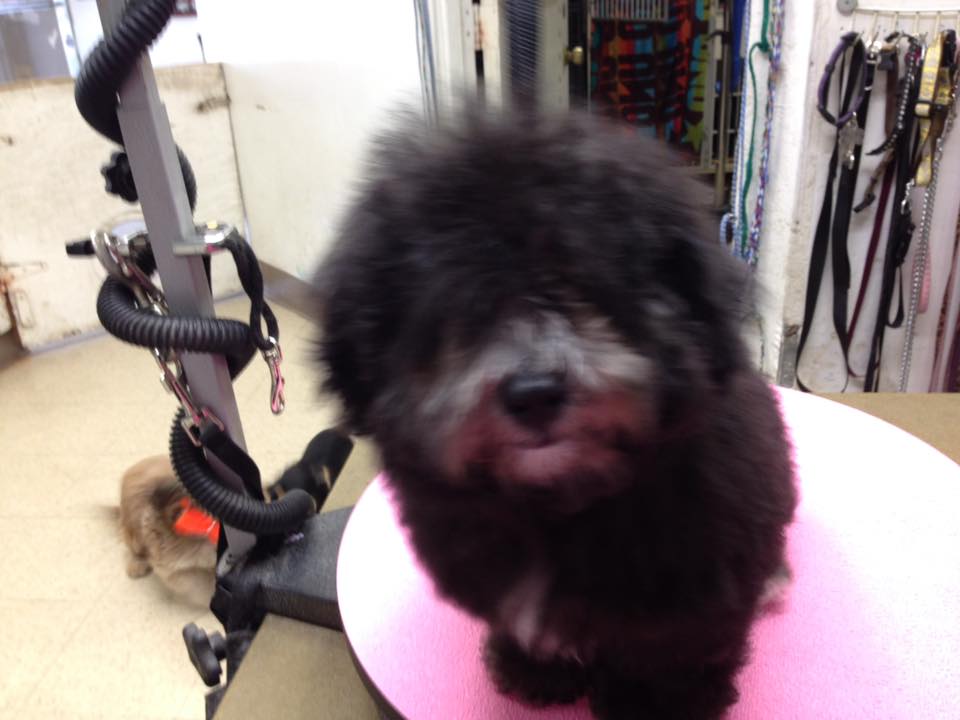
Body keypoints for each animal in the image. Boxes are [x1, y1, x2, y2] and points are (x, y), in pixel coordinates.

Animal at [316, 107, 797, 719]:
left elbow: (673, 660)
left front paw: (653, 706)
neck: (559, 505)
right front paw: (536, 671)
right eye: (462, 307)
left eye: (585, 286)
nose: (535, 393)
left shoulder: (697, 598)